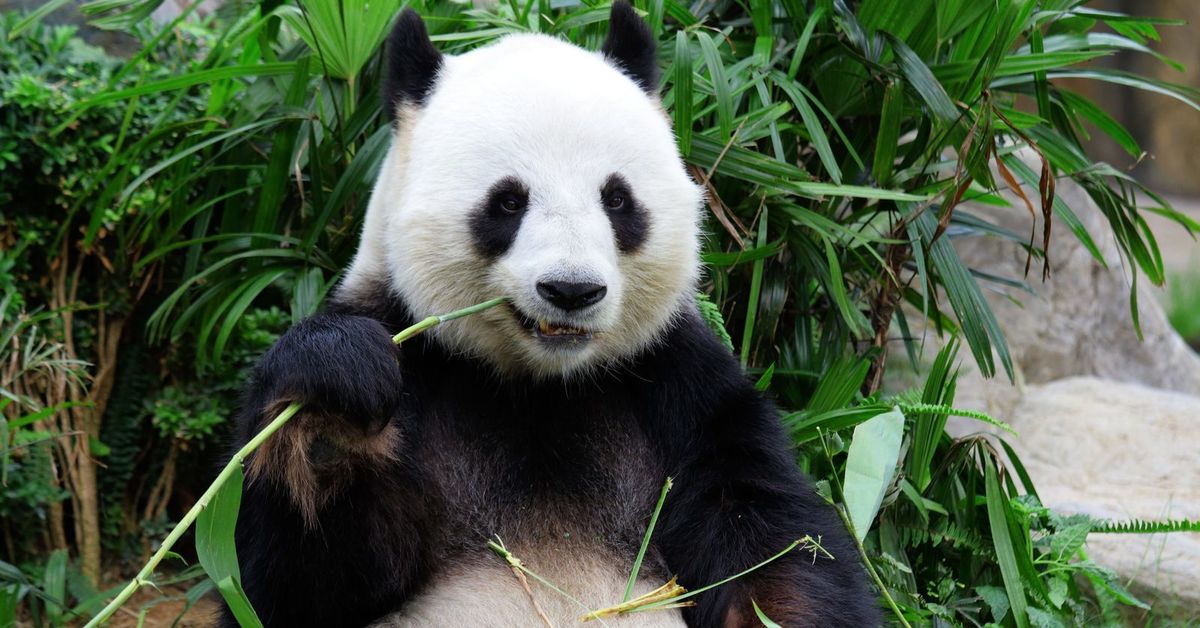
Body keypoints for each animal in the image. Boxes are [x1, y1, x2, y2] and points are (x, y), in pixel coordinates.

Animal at [226, 2, 883, 624]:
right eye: (507, 202)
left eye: (617, 199)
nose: (571, 290)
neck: (540, 386)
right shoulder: (415, 354)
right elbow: (297, 584)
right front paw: (332, 411)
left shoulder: (682, 387)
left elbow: (771, 548)